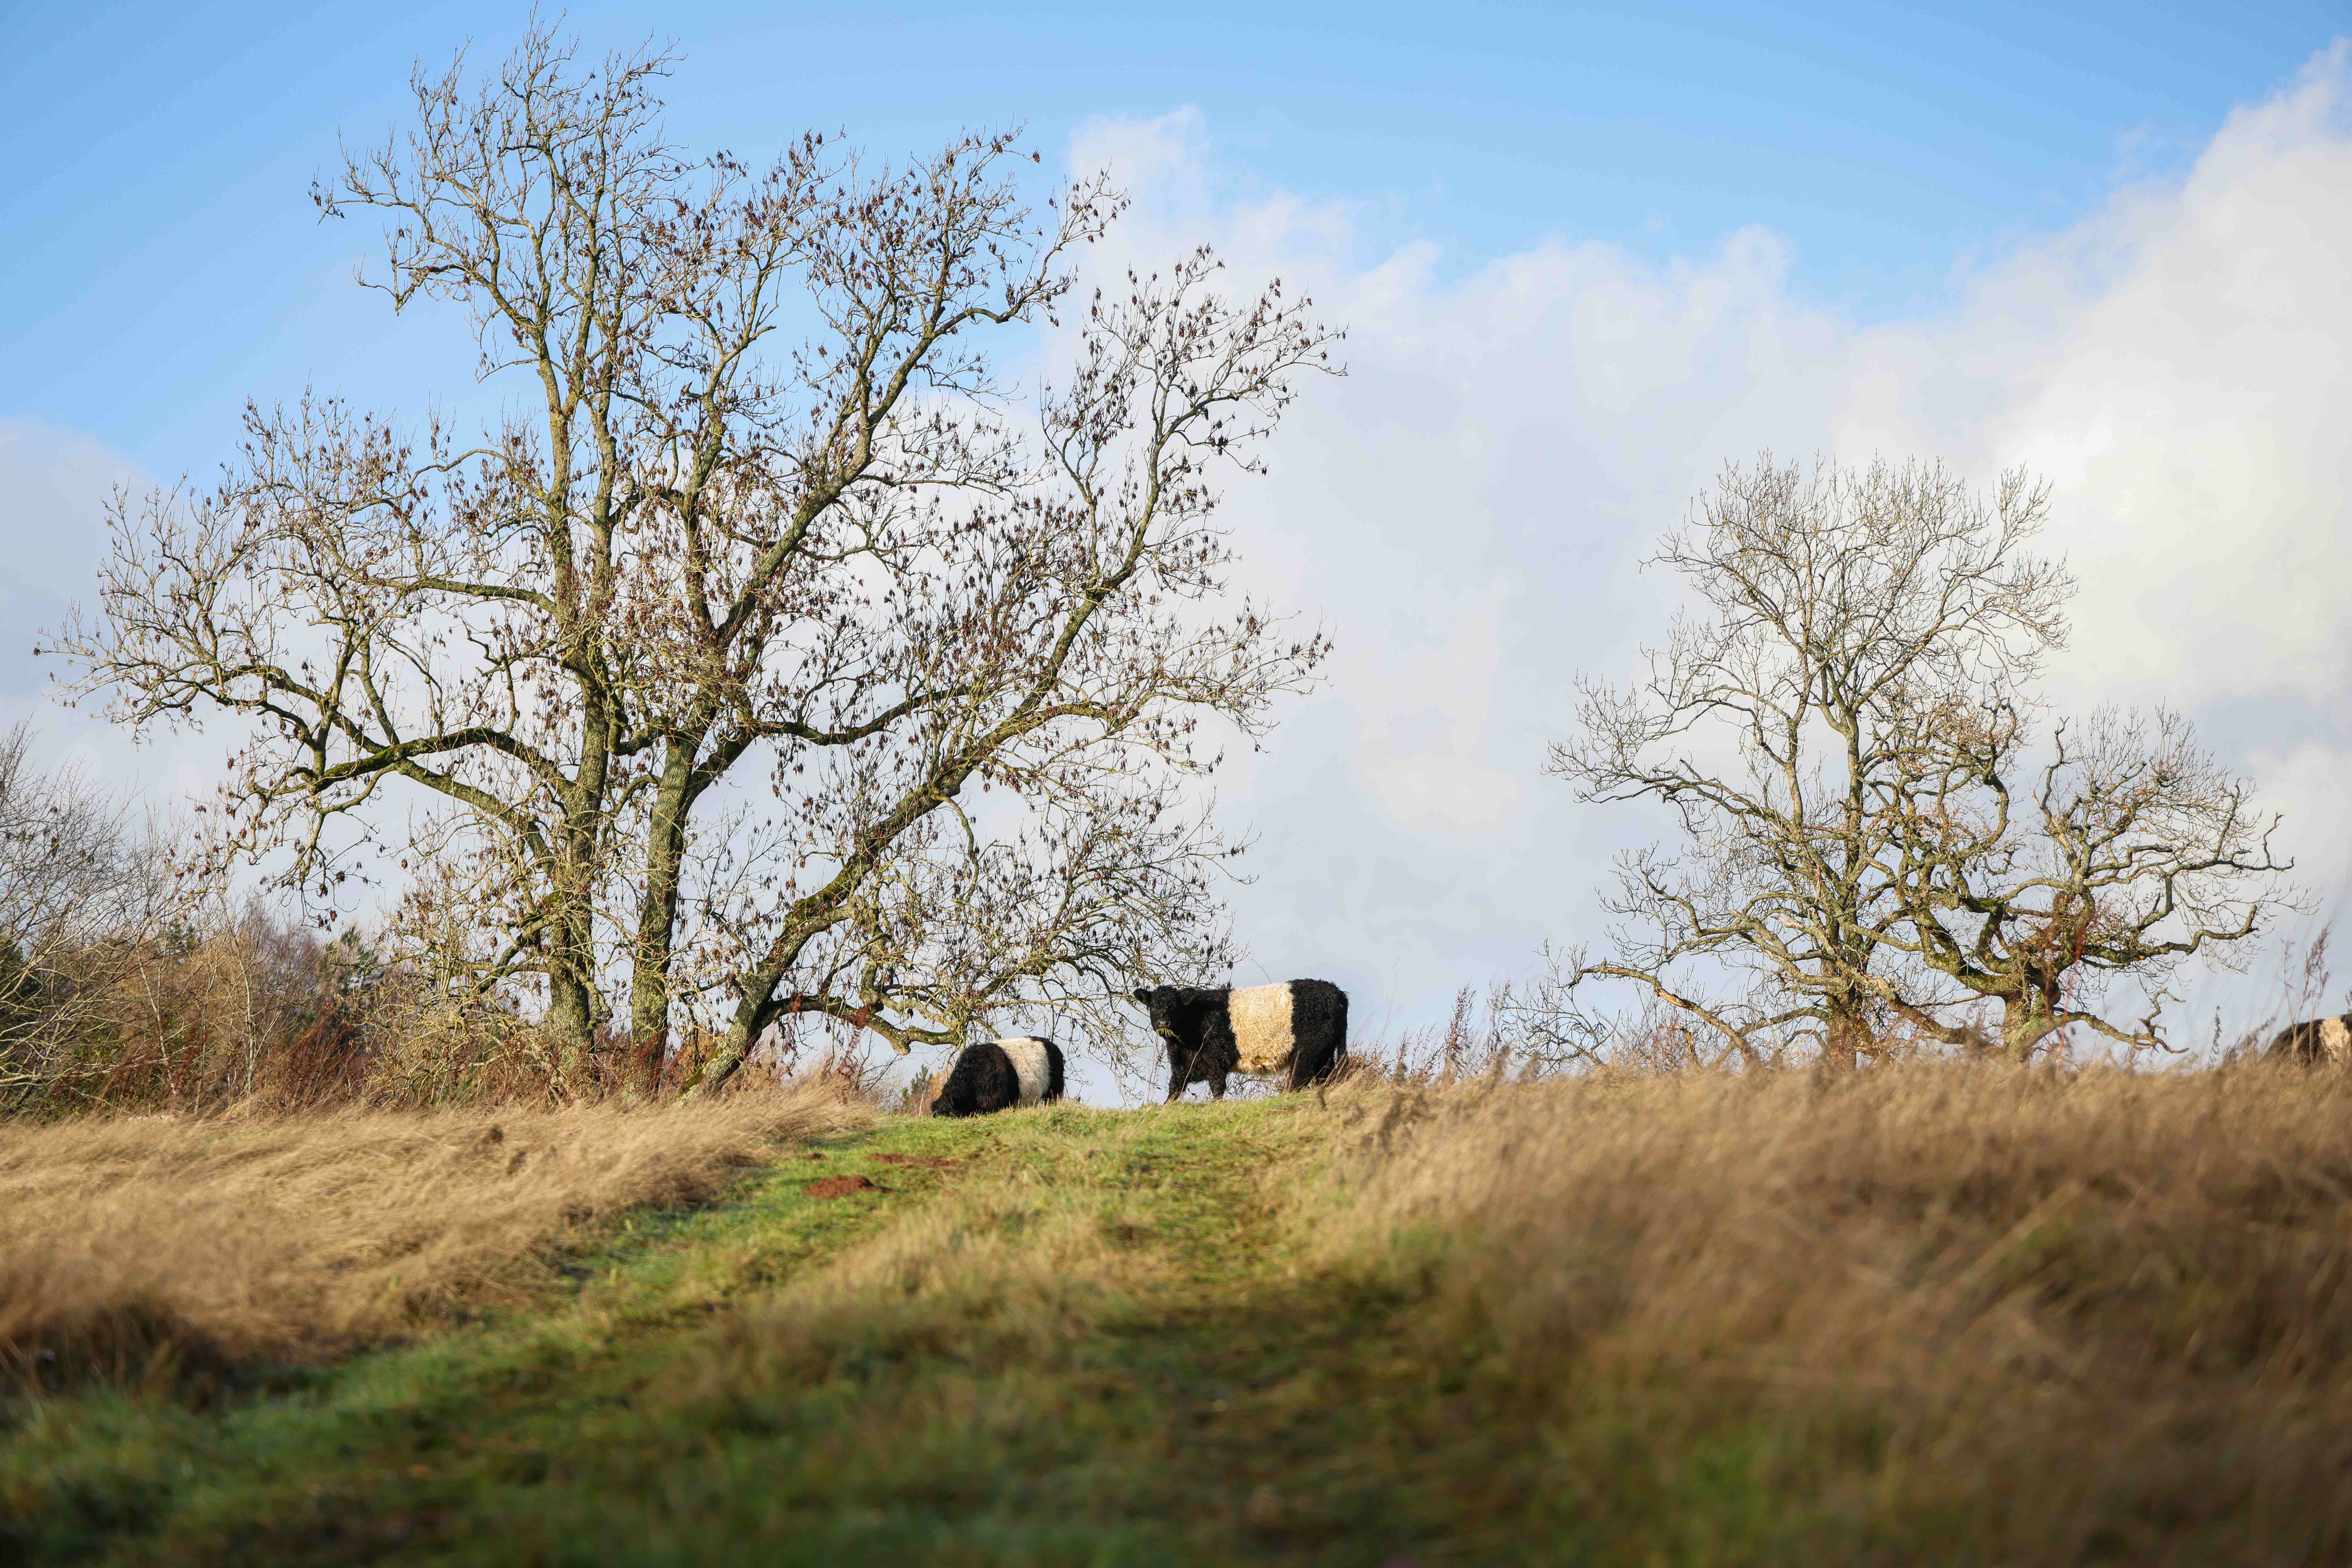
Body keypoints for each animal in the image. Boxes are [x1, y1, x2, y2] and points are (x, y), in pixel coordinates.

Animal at [1132, 980, 1348, 1101]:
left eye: (1174, 1006)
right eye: (1154, 1006)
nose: (1163, 1022)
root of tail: (1336, 991)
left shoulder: (1215, 1057)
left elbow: (1217, 1087)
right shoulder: (1183, 1065)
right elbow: (1174, 1089)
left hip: (1307, 1050)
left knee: (1299, 1079)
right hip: (1324, 1052)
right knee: (1327, 1076)